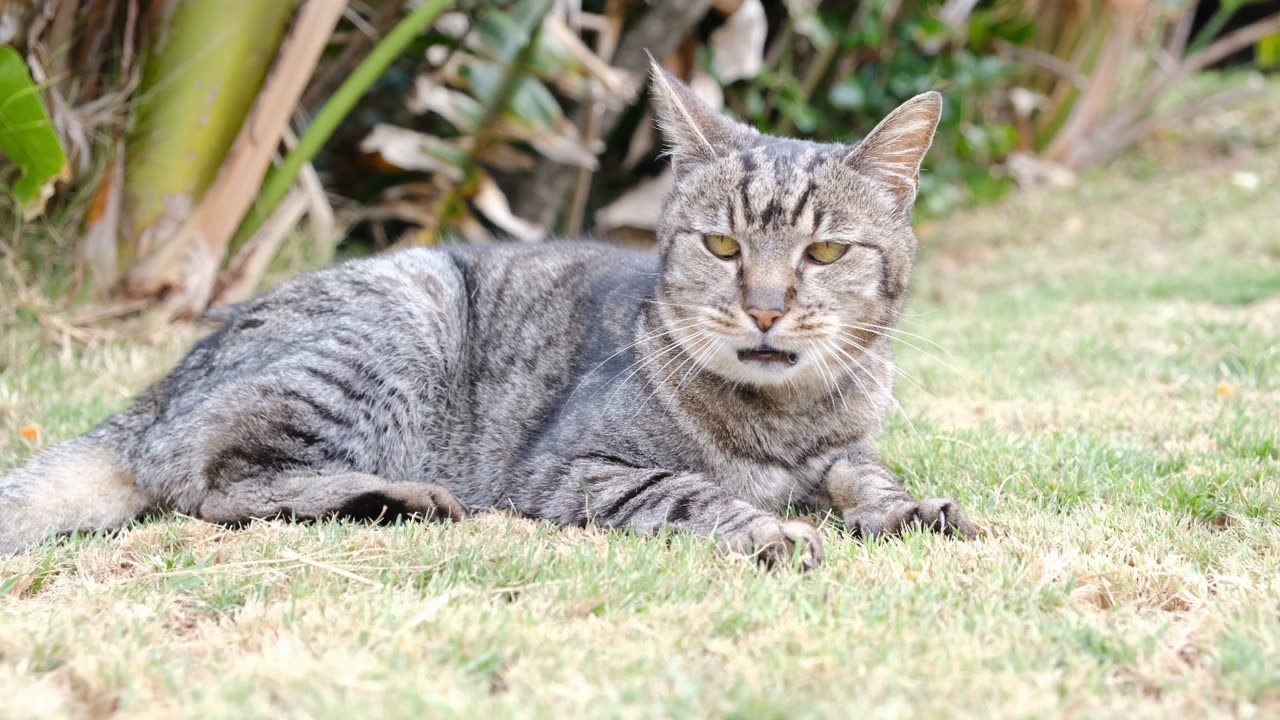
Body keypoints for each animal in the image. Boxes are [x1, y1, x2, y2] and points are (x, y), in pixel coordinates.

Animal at [2, 61, 977, 566]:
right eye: (724, 247)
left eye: (825, 254)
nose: (767, 311)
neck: (784, 417)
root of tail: (155, 395)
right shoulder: (572, 467)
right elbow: (693, 492)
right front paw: (769, 528)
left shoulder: (843, 447)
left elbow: (862, 473)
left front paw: (909, 508)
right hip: (404, 317)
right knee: (216, 486)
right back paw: (398, 496)